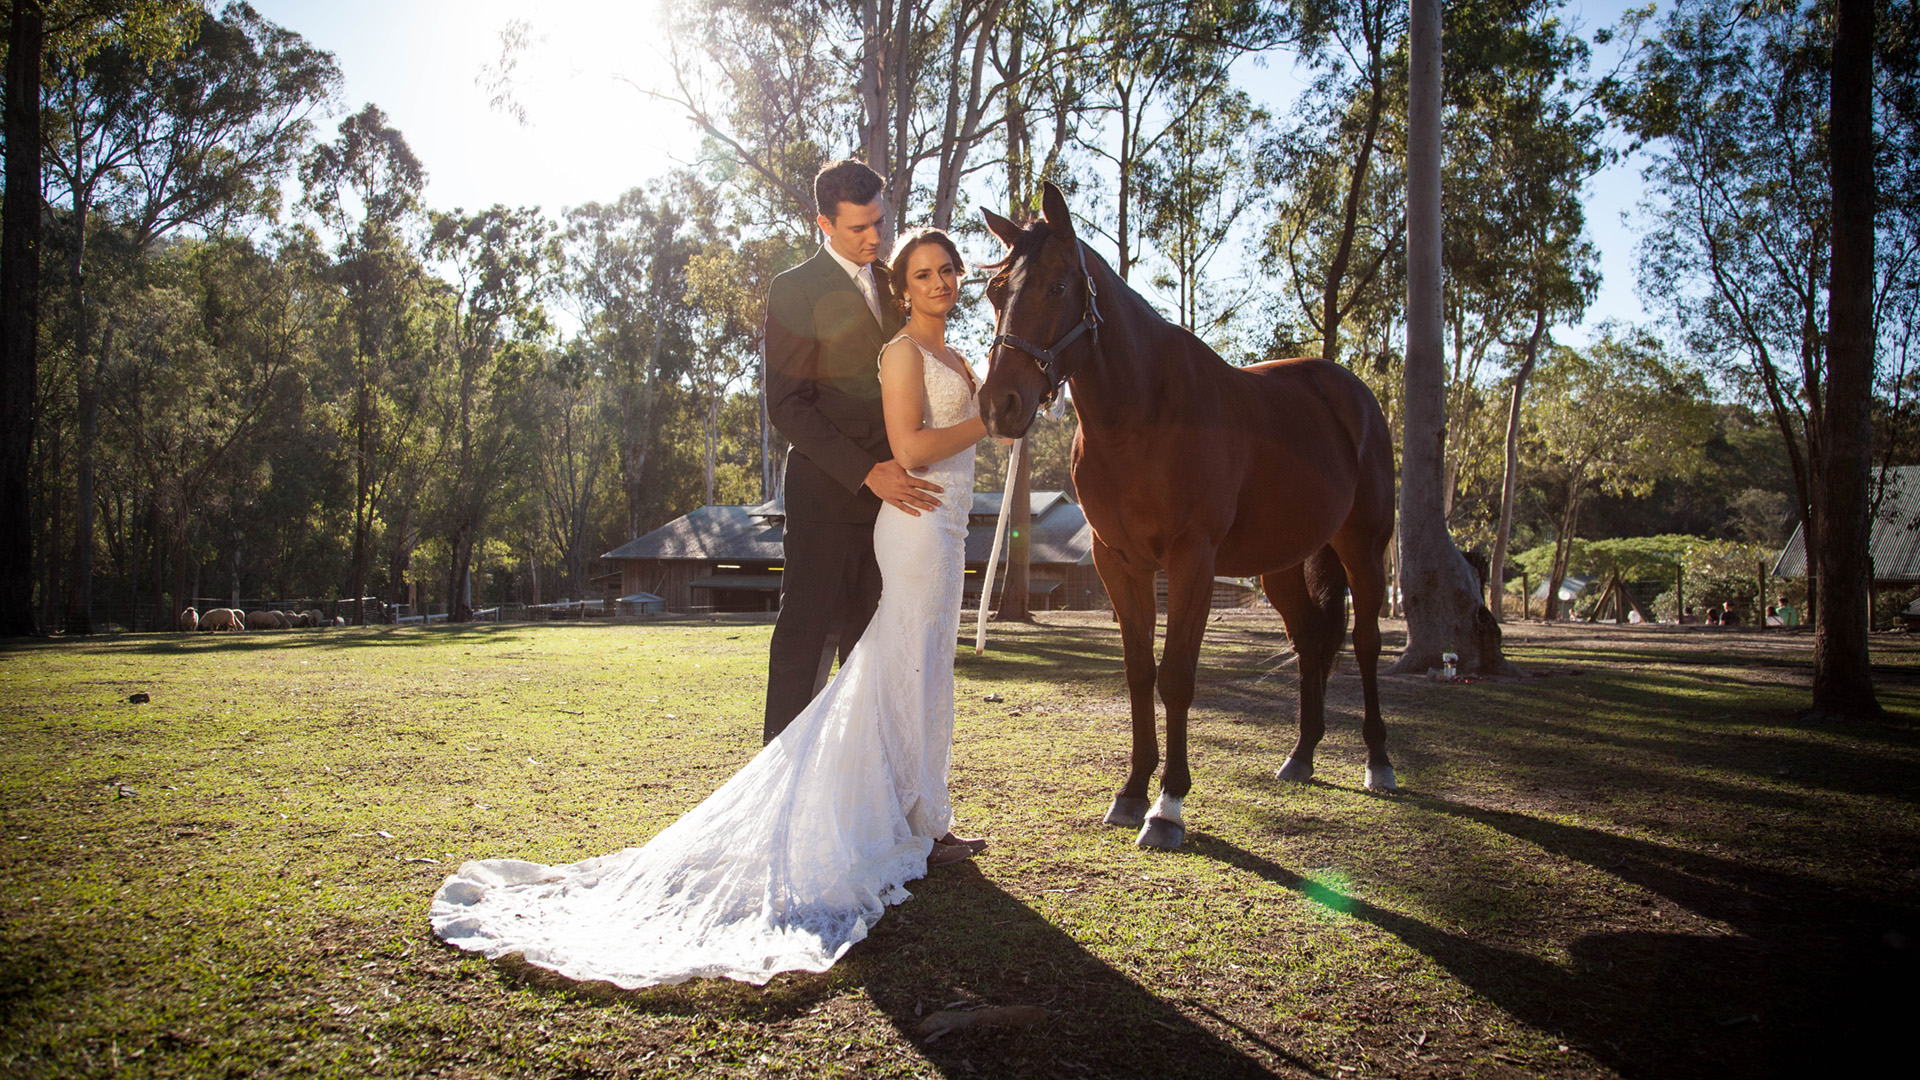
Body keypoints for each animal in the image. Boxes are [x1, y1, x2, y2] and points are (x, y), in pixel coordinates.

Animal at [978, 182, 1399, 851]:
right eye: (996, 290)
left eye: (1058, 286)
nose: (1000, 404)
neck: (1143, 413)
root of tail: (1352, 394)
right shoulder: (1119, 562)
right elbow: (1139, 673)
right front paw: (1131, 791)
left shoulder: (1191, 560)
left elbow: (1176, 674)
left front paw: (1168, 805)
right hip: (1281, 565)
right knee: (1311, 638)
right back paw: (1301, 756)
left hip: (1362, 549)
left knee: (1364, 643)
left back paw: (1378, 762)